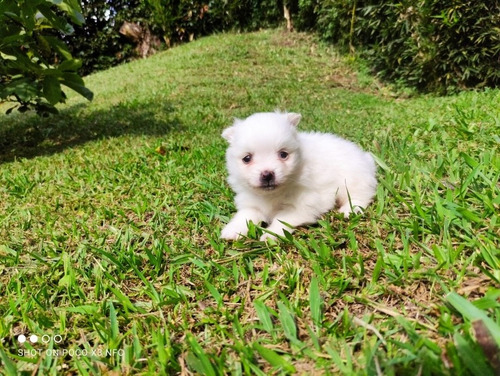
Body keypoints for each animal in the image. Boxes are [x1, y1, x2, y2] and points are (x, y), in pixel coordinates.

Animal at [221, 111, 376, 241]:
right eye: (247, 158)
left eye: (283, 154)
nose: (267, 174)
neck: (273, 195)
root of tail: (365, 158)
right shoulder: (252, 203)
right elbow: (245, 215)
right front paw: (232, 230)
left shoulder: (302, 206)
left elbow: (281, 219)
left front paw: (270, 235)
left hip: (352, 179)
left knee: (360, 195)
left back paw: (349, 210)